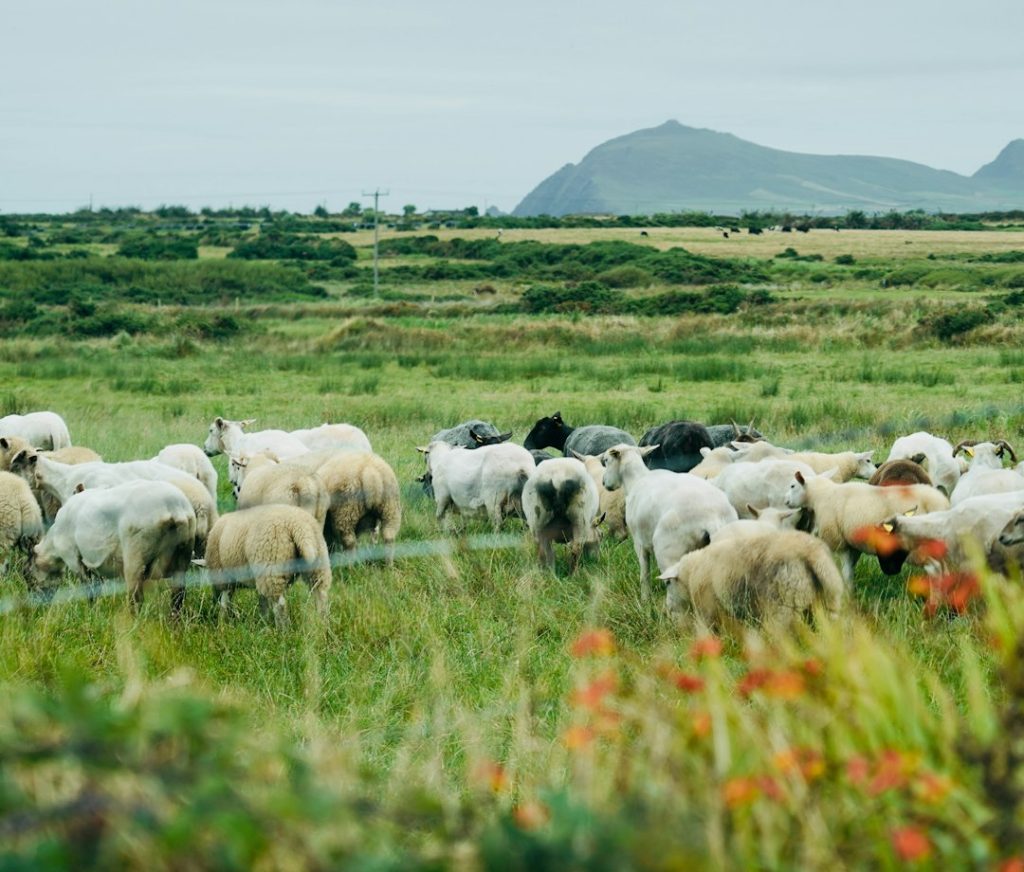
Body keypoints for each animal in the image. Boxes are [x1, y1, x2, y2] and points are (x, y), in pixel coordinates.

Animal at [32, 480, 196, 608]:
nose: (39, 605)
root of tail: (174, 508)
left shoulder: (74, 559)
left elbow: (89, 591)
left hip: (135, 556)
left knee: (136, 599)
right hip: (183, 554)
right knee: (177, 597)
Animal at [200, 504, 331, 627]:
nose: (213, 601)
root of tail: (298, 527)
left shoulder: (223, 575)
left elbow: (225, 601)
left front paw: (221, 622)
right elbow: (263, 602)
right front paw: (263, 622)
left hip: (271, 566)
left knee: (280, 604)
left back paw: (283, 630)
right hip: (318, 563)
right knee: (320, 595)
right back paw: (323, 626)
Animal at [601, 443, 737, 600]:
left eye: (606, 460)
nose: (603, 482)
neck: (635, 480)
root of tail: (712, 517)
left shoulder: (639, 542)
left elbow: (644, 573)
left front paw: (645, 599)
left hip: (669, 549)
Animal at [660, 529, 844, 630]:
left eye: (668, 583)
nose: (667, 610)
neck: (691, 572)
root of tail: (812, 553)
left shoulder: (707, 605)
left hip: (782, 603)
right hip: (826, 600)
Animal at [784, 470, 950, 582]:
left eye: (792, 486)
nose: (786, 501)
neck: (822, 495)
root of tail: (936, 502)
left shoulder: (840, 542)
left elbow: (845, 572)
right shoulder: (852, 543)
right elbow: (850, 570)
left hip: (913, 545)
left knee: (934, 569)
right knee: (945, 569)